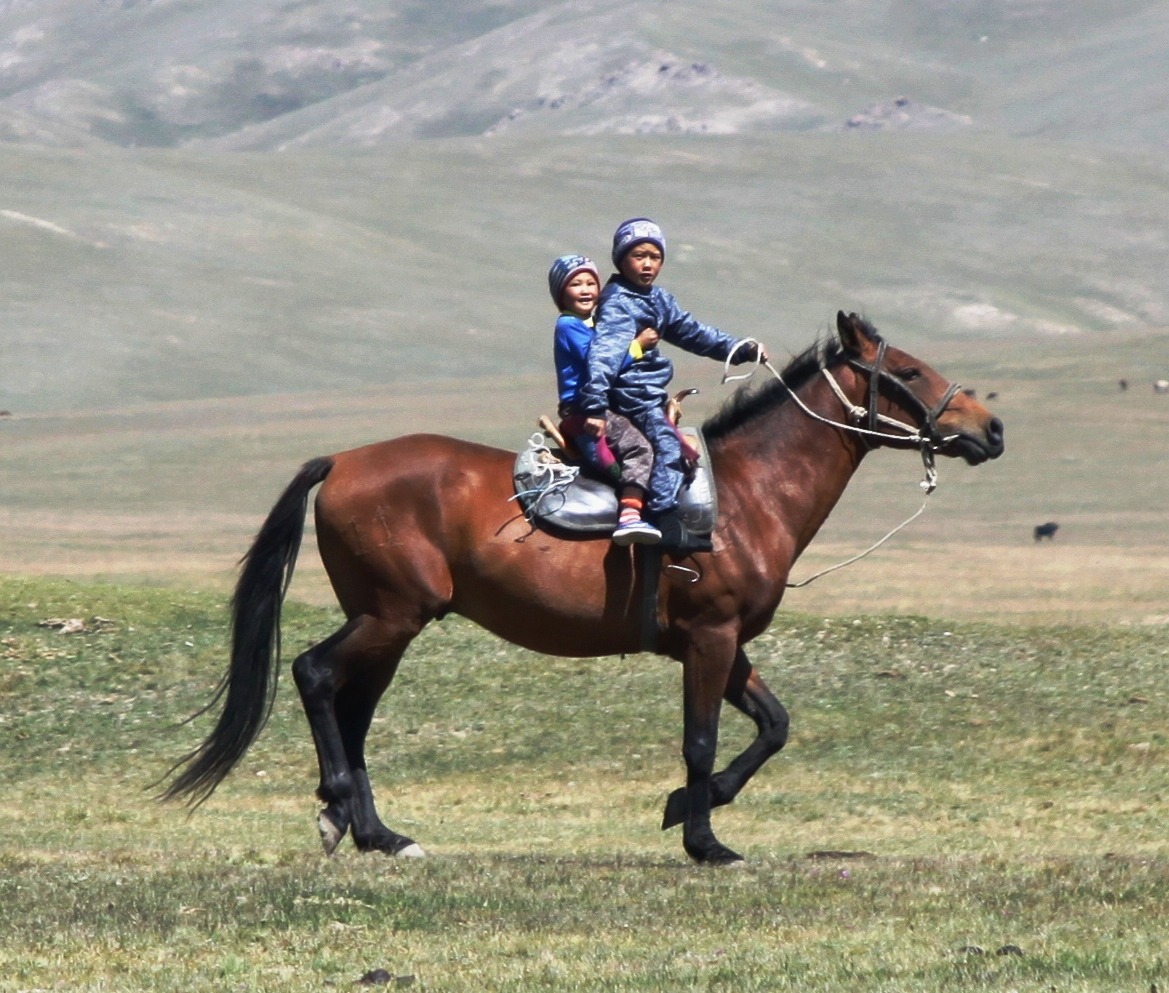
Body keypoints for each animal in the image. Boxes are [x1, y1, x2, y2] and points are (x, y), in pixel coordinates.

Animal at [164, 308, 1005, 860]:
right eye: (906, 372)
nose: (989, 428)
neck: (748, 494)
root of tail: (342, 460)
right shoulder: (709, 637)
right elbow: (701, 739)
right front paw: (704, 839)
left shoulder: (724, 643)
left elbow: (773, 725)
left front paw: (684, 809)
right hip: (391, 615)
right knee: (315, 674)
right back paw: (349, 811)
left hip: (388, 624)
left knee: (353, 705)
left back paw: (371, 829)